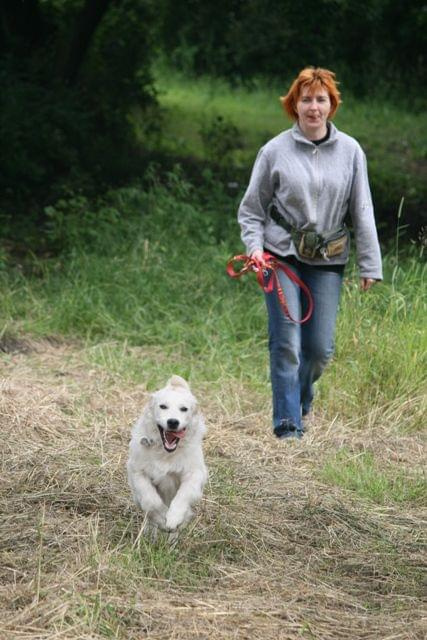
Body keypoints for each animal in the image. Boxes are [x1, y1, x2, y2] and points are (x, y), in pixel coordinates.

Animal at [126, 376, 208, 536]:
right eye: (163, 406)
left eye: (184, 409)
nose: (173, 422)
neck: (165, 453)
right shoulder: (137, 472)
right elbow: (151, 500)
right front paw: (162, 517)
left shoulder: (195, 473)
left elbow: (183, 495)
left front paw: (173, 518)